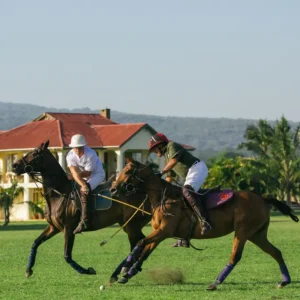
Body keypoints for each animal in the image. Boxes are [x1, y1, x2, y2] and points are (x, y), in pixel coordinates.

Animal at [12, 142, 151, 280]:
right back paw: (129, 268)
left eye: (34, 153)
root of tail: (143, 192)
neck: (58, 193)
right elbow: (35, 243)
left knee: (139, 241)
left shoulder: (69, 229)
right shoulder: (53, 227)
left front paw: (87, 270)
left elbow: (67, 256)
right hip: (127, 224)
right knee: (139, 241)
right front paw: (28, 270)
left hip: (132, 224)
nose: (14, 166)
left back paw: (129, 268)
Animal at [110, 159, 300, 290]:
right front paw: (127, 273)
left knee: (235, 256)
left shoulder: (164, 231)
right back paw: (284, 281)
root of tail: (262, 198)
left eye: (127, 171)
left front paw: (124, 270)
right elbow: (144, 251)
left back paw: (215, 283)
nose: (112, 189)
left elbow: (140, 243)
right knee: (276, 252)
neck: (163, 198)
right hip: (256, 234)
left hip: (243, 232)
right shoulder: (159, 233)